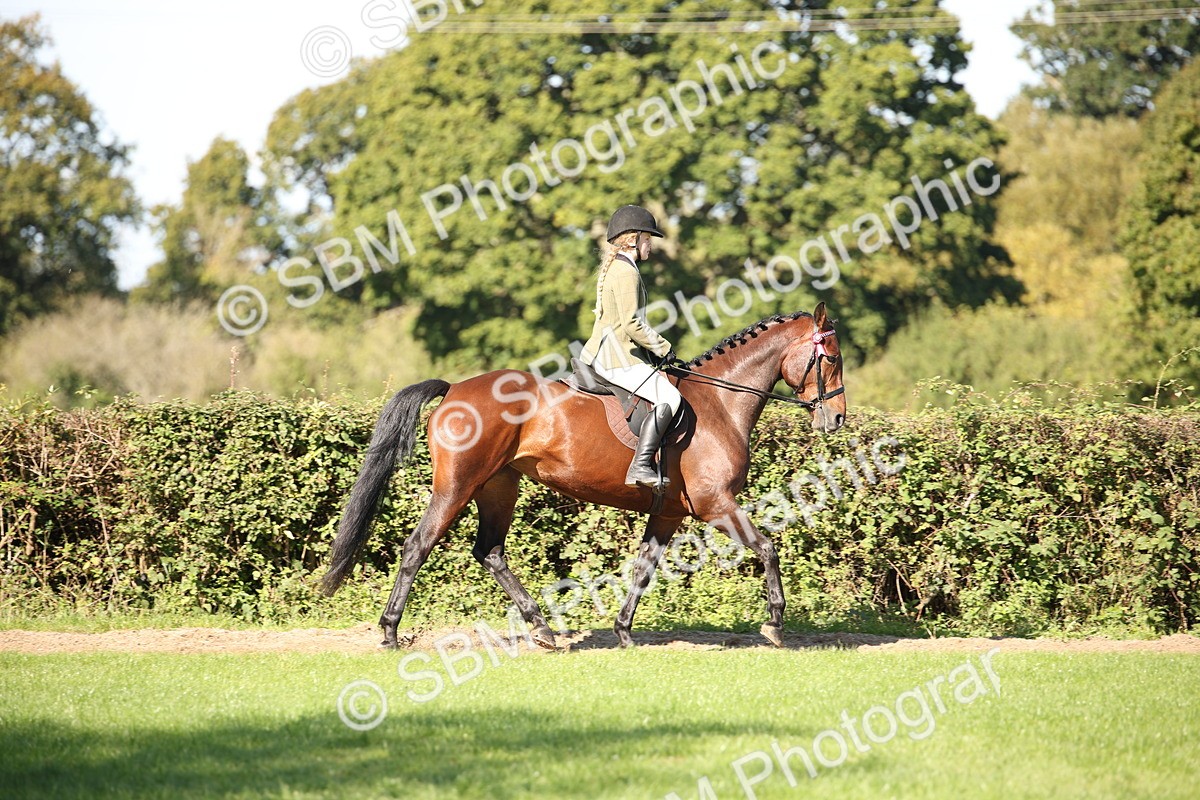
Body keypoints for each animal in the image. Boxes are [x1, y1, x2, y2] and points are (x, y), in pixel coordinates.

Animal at [320, 302, 847, 649]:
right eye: (833, 358)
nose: (837, 419)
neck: (720, 402)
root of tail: (453, 389)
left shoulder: (669, 513)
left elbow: (643, 568)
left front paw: (623, 632)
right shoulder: (716, 504)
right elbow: (768, 548)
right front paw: (775, 623)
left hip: (498, 487)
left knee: (490, 551)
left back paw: (543, 630)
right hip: (456, 488)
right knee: (419, 546)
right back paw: (390, 632)